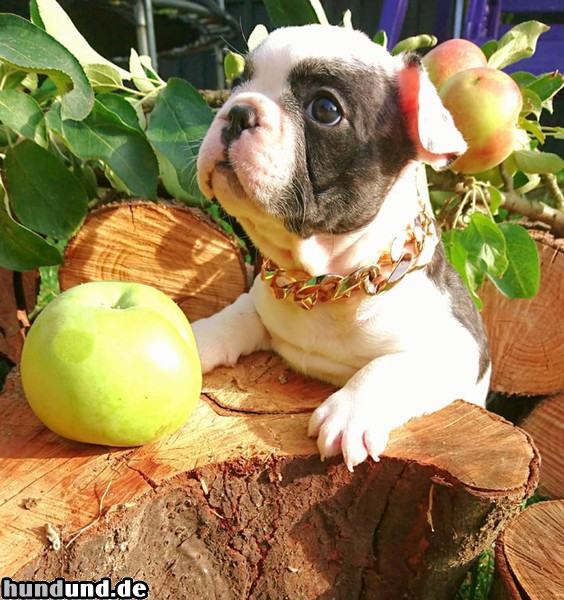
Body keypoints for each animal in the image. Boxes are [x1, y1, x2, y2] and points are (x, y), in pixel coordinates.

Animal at [193, 24, 490, 468]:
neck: (324, 280)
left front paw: (350, 411)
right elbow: (233, 316)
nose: (239, 110)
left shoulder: (460, 348)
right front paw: (190, 338)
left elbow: (390, 366)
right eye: (237, 84)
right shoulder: (259, 303)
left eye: (324, 109)